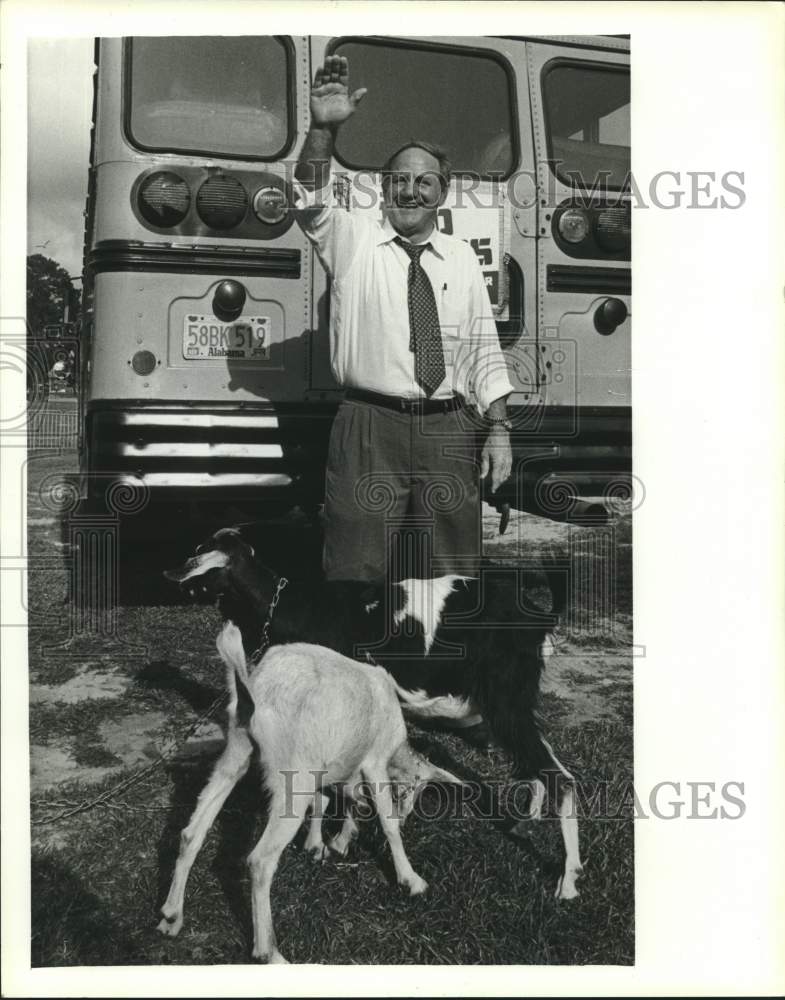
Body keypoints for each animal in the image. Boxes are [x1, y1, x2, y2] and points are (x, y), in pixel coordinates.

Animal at [156, 624, 460, 960]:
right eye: (408, 791)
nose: (409, 816)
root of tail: (256, 690)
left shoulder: (330, 768)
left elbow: (329, 802)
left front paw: (325, 844)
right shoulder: (375, 762)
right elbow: (386, 822)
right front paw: (411, 880)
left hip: (236, 753)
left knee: (191, 833)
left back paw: (171, 916)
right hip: (292, 776)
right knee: (260, 860)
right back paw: (269, 952)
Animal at [164, 528, 580, 904]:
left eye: (198, 556)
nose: (169, 574)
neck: (288, 604)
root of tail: (538, 617)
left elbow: (336, 790)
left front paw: (326, 842)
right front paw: (337, 839)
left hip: (506, 702)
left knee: (561, 777)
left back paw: (568, 881)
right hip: (511, 705)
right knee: (540, 762)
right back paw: (525, 820)